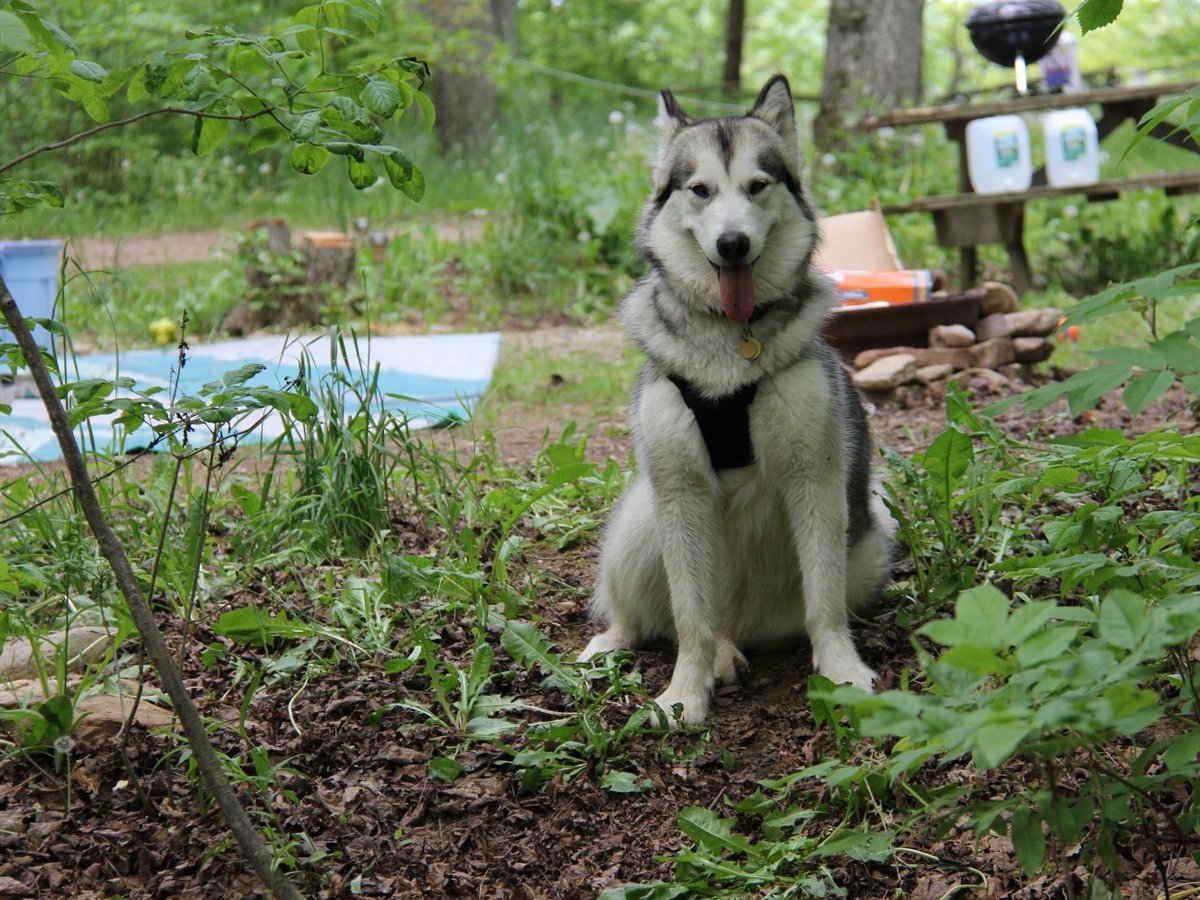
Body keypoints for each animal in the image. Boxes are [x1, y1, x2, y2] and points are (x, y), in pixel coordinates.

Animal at [576, 74, 897, 729]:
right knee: (654, 617)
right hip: (644, 517)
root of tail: (745, 627)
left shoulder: (814, 478)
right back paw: (617, 644)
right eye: (699, 190)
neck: (730, 343)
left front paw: (841, 670)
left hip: (872, 543)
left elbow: (824, 603)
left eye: (757, 186)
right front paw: (683, 694)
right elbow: (690, 620)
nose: (732, 244)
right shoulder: (680, 491)